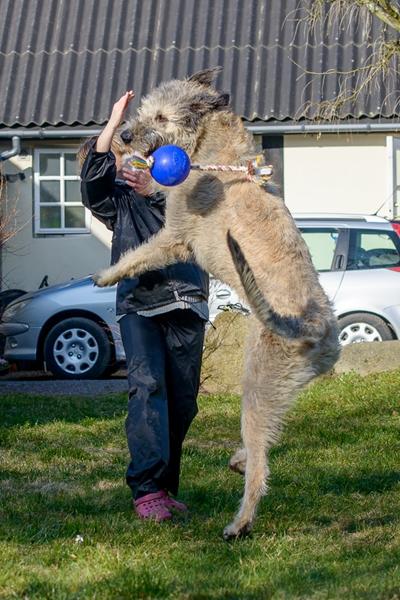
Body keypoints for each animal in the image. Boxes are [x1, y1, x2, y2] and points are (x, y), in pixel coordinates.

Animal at [94, 69, 340, 540]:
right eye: (143, 108)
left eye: (161, 116)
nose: (125, 134)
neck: (211, 147)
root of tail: (318, 328)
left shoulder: (176, 237)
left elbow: (140, 253)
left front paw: (107, 275)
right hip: (281, 387)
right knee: (266, 442)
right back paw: (239, 460)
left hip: (259, 384)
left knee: (261, 468)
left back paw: (240, 523)